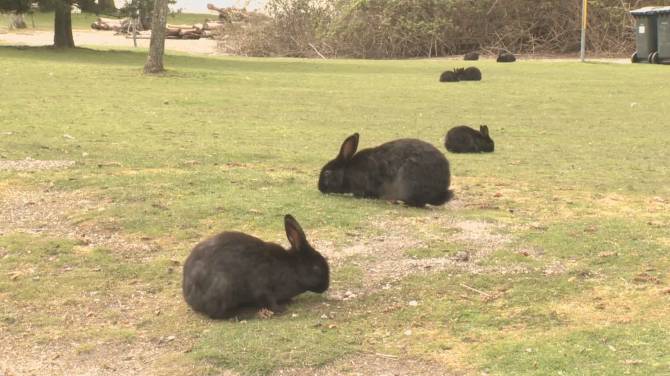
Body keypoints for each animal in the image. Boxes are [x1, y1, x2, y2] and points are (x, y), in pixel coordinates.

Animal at [184, 214, 330, 318]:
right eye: (316, 268)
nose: (326, 286)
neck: (291, 268)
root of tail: (189, 295)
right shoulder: (262, 288)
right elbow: (269, 300)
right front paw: (281, 309)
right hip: (223, 289)